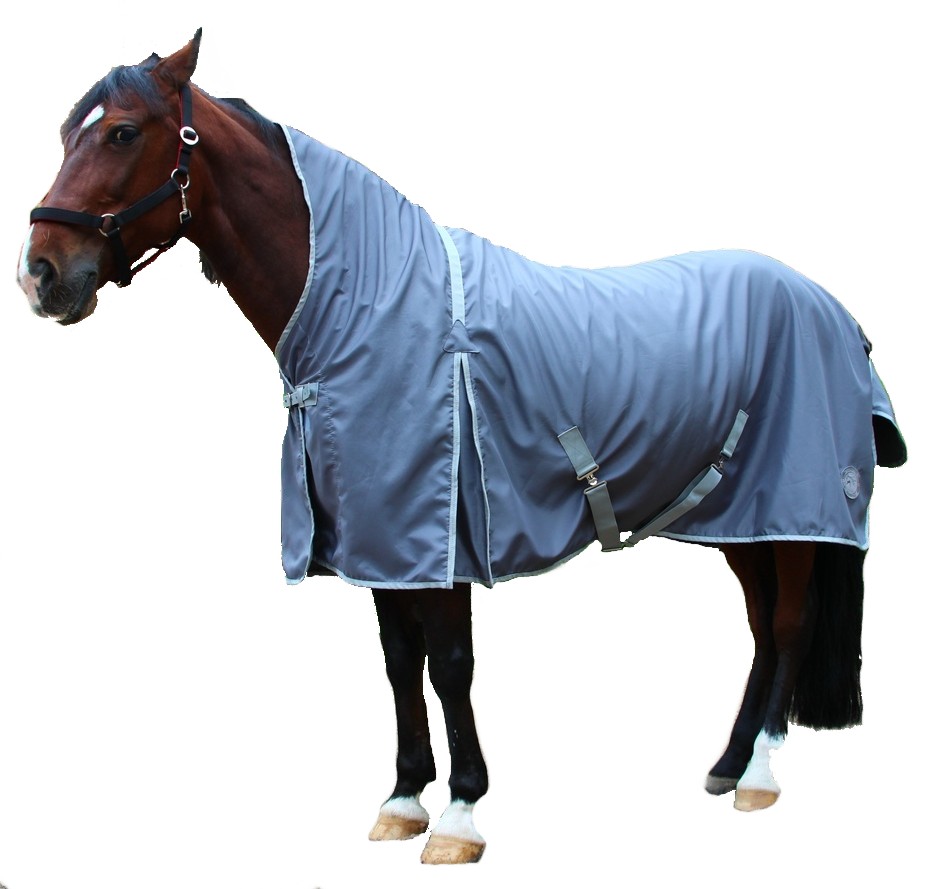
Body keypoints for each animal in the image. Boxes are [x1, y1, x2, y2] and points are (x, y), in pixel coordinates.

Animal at [16, 31, 906, 865]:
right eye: (66, 134)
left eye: (123, 132)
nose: (39, 275)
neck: (371, 310)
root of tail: (831, 306)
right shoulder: (377, 539)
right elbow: (397, 659)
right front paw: (403, 797)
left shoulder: (434, 531)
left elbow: (448, 662)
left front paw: (460, 813)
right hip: (742, 517)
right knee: (760, 627)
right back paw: (725, 763)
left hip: (797, 509)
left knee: (788, 622)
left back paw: (759, 775)